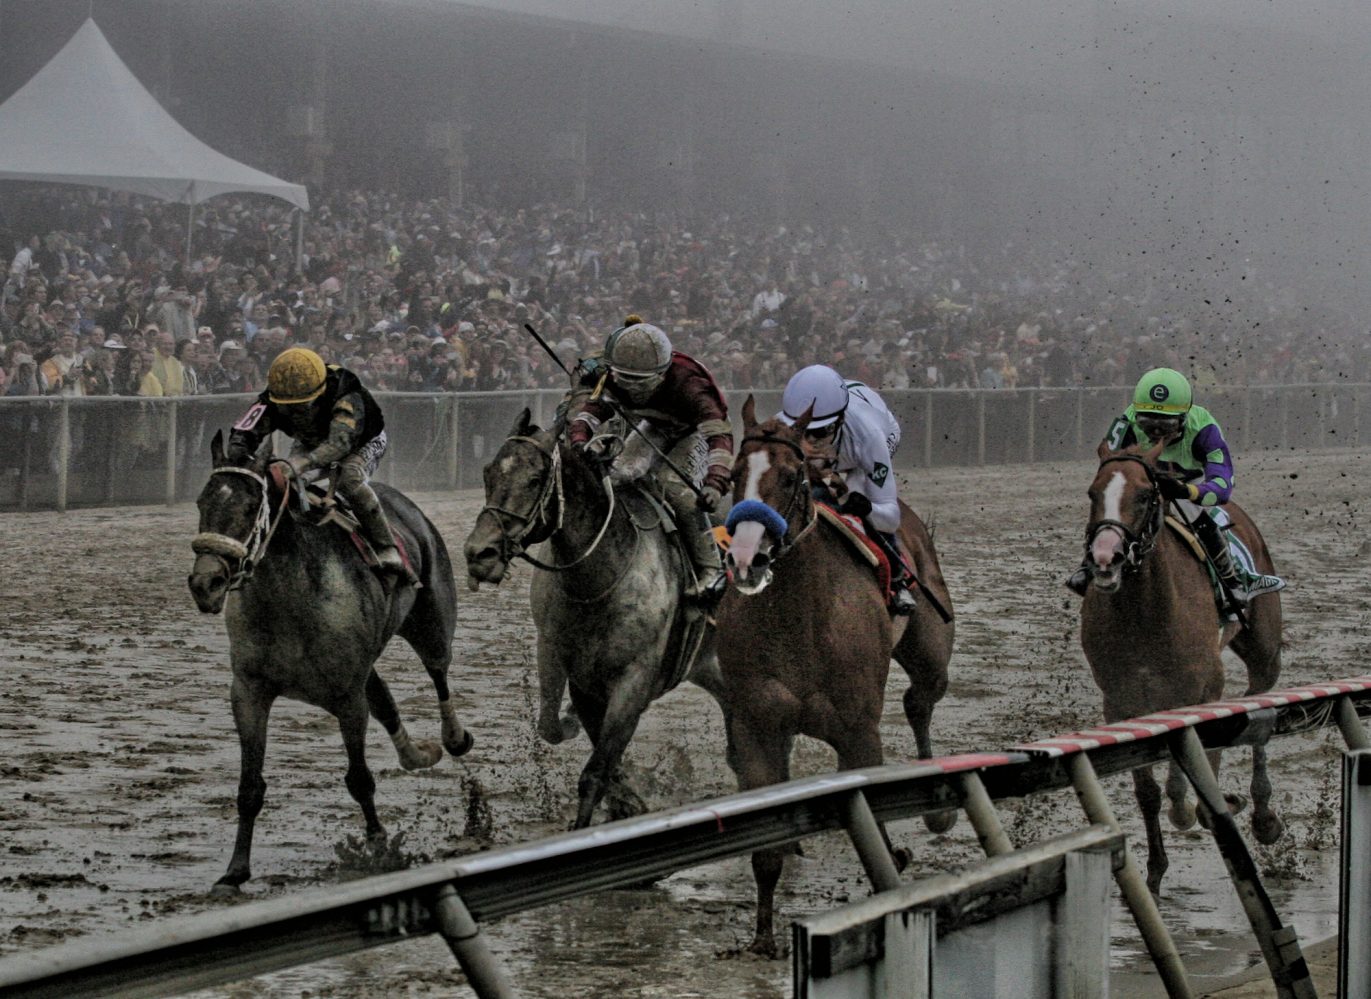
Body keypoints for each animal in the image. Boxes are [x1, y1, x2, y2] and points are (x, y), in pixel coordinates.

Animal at [189, 427, 471, 888]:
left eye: (250, 506)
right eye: (202, 502)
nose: (205, 583)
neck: (290, 600)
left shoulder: (347, 698)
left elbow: (359, 778)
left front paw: (377, 846)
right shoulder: (249, 693)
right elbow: (250, 787)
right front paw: (235, 870)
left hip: (431, 622)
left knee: (438, 671)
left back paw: (453, 737)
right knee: (385, 699)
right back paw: (415, 754)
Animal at [463, 405, 729, 827]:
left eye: (534, 479)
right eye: (489, 473)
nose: (479, 553)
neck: (598, 583)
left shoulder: (632, 679)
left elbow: (596, 769)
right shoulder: (568, 665)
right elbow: (555, 728)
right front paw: (625, 797)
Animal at [718, 394, 954, 953]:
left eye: (790, 476)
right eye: (735, 474)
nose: (745, 557)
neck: (801, 619)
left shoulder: (859, 735)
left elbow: (876, 839)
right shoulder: (757, 728)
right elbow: (766, 854)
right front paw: (762, 939)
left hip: (931, 649)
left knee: (920, 700)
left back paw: (938, 811)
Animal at [1080, 441, 1283, 893]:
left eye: (1144, 495)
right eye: (1092, 493)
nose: (1105, 559)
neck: (1146, 611)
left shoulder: (1198, 689)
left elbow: (1179, 784)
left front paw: (1204, 807)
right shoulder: (1119, 701)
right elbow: (1149, 793)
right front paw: (1154, 874)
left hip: (1263, 652)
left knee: (1259, 710)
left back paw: (1261, 815)